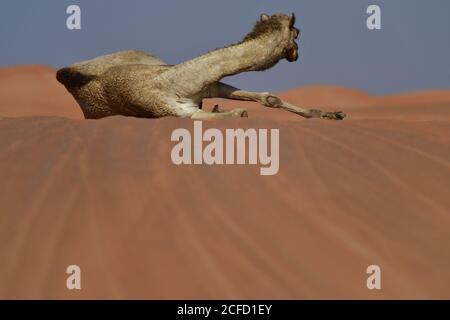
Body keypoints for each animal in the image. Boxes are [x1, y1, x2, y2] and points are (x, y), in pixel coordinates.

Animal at [56, 12, 344, 120]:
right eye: (298, 32)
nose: (296, 55)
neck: (170, 81)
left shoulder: (210, 85)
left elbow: (268, 98)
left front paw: (326, 114)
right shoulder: (176, 112)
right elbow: (234, 114)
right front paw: (232, 111)